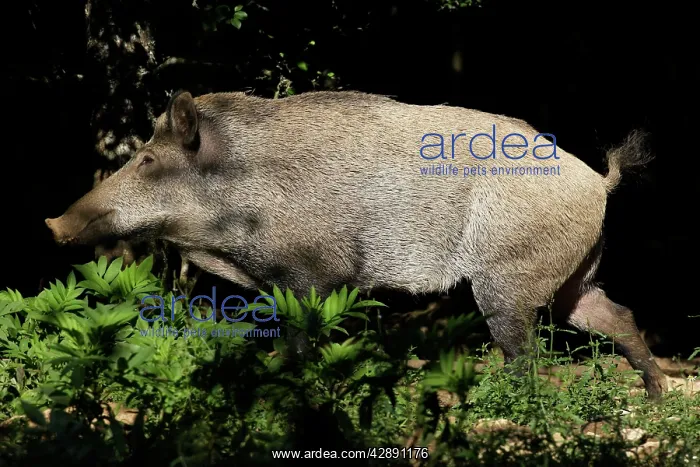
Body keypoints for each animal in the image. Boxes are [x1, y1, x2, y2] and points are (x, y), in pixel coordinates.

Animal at [45, 89, 667, 398]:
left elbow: (299, 340)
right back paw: (657, 395)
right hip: (570, 276)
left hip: (509, 278)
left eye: (148, 160)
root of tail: (598, 182)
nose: (52, 223)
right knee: (614, 314)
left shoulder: (312, 274)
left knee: (527, 352)